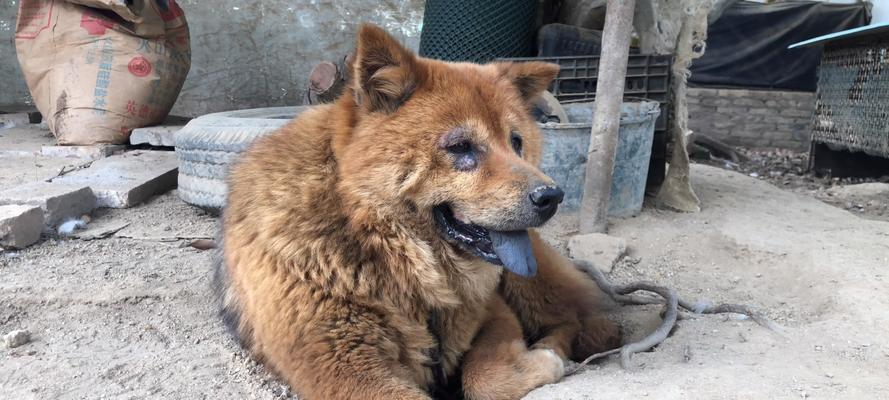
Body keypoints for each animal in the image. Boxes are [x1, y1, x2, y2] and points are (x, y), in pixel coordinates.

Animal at [215, 25, 616, 400]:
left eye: (516, 143)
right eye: (460, 147)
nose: (552, 196)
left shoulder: (494, 313)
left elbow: (485, 378)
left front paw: (536, 361)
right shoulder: (346, 369)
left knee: (585, 321)